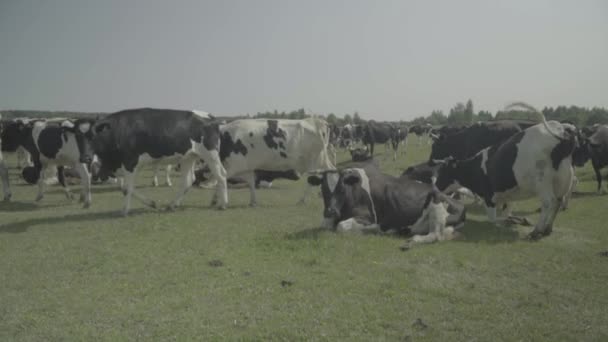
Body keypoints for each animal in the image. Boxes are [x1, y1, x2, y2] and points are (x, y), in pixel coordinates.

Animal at [92, 108, 228, 215]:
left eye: (90, 137)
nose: (95, 176)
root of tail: (211, 118)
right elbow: (125, 187)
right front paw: (151, 203)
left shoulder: (130, 163)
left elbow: (126, 187)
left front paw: (125, 210)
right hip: (189, 157)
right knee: (189, 180)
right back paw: (173, 205)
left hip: (210, 154)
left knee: (221, 175)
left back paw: (223, 204)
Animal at [306, 160, 468, 243]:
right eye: (323, 189)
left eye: (342, 189)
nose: (331, 211)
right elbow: (326, 224)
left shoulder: (368, 217)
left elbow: (341, 226)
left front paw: (374, 229)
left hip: (436, 201)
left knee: (436, 235)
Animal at [432, 103, 576, 239]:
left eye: (442, 172)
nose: (435, 187)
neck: (476, 168)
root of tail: (562, 131)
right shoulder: (508, 196)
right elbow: (506, 213)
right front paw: (516, 220)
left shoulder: (489, 197)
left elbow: (494, 219)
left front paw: (517, 221)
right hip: (563, 179)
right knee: (558, 201)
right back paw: (547, 229)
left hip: (542, 180)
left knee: (548, 202)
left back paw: (536, 231)